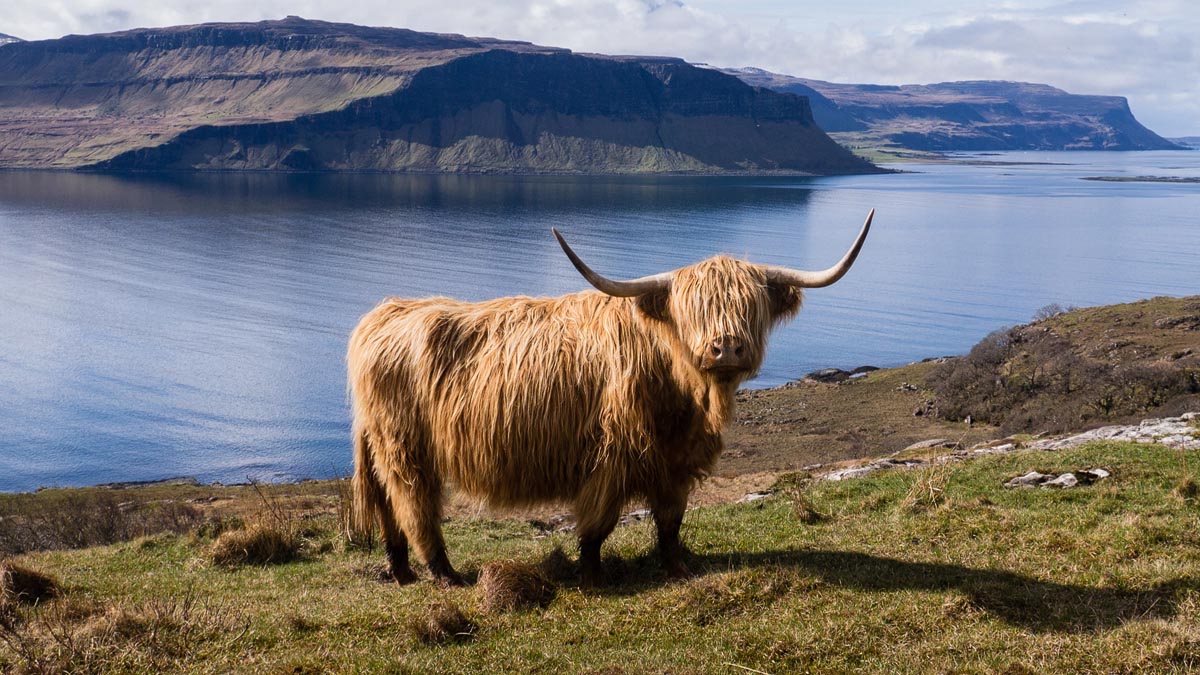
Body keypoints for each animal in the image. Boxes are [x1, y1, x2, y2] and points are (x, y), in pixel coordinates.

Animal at [349, 210, 873, 586]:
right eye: (693, 309)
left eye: (750, 306)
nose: (726, 347)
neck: (682, 398)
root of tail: (385, 314)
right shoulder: (612, 456)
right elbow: (597, 525)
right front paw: (594, 575)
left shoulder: (675, 462)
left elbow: (670, 521)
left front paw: (678, 568)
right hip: (406, 447)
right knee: (414, 505)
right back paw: (445, 574)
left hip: (383, 445)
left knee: (388, 506)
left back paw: (401, 571)